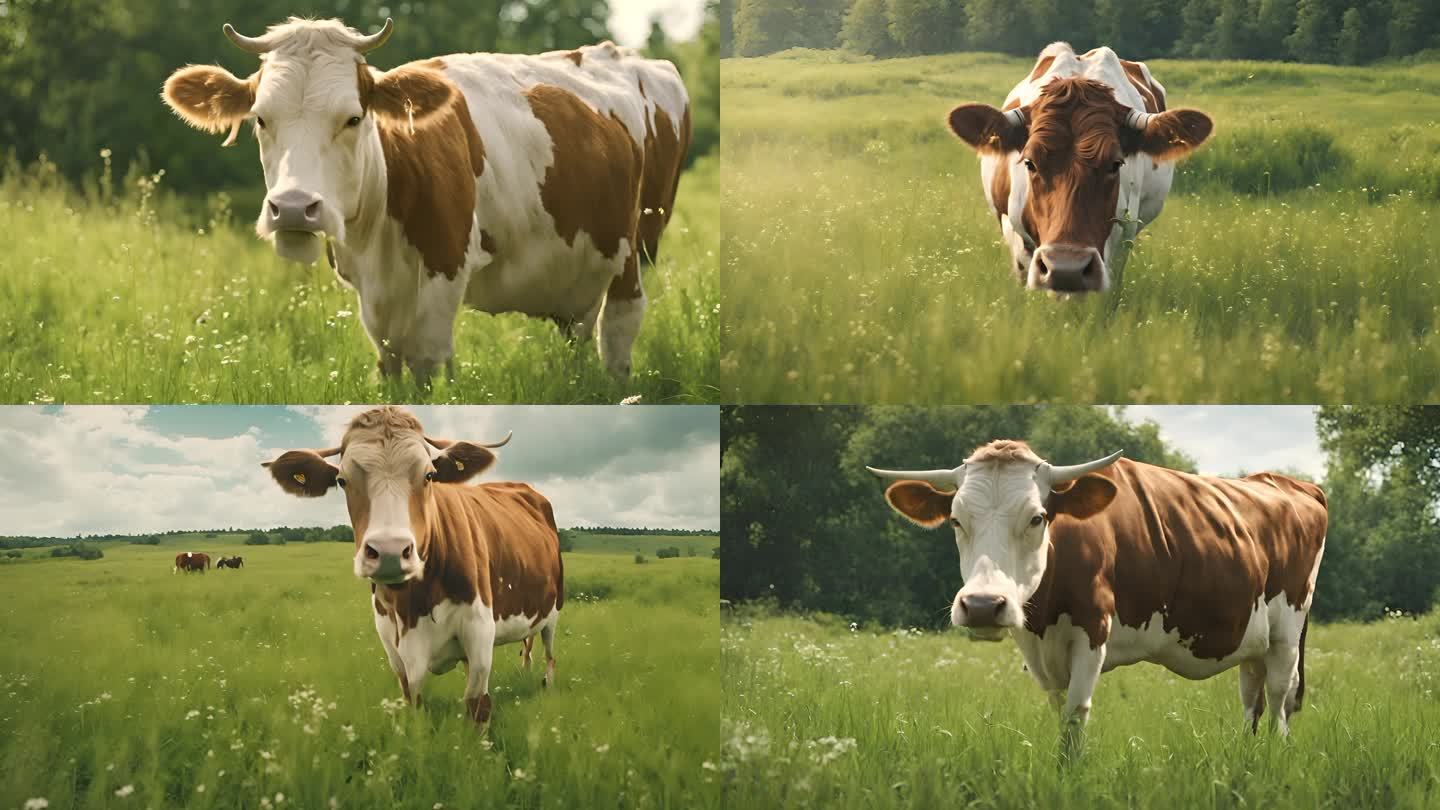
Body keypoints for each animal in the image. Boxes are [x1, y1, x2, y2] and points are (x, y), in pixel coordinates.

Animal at [163, 17, 691, 380]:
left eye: (354, 118)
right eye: (260, 118)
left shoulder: (446, 264)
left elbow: (430, 362)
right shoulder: (370, 291)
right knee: (578, 331)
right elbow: (391, 364)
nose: (293, 207)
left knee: (618, 331)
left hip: (635, 247)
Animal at [263, 403, 561, 726]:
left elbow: (477, 706)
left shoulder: (480, 631)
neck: (411, 604)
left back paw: (547, 686)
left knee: (548, 652)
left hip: (554, 609)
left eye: (429, 475)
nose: (390, 552)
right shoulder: (392, 642)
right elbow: (413, 702)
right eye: (342, 480)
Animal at [864, 438, 1324, 749]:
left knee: (1280, 696)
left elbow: (1074, 719)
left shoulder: (1092, 631)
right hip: (1252, 637)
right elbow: (1058, 713)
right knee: (1252, 697)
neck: (1042, 621)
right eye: (956, 520)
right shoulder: (1043, 657)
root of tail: (1287, 483)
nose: (981, 605)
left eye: (1038, 517)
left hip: (1288, 632)